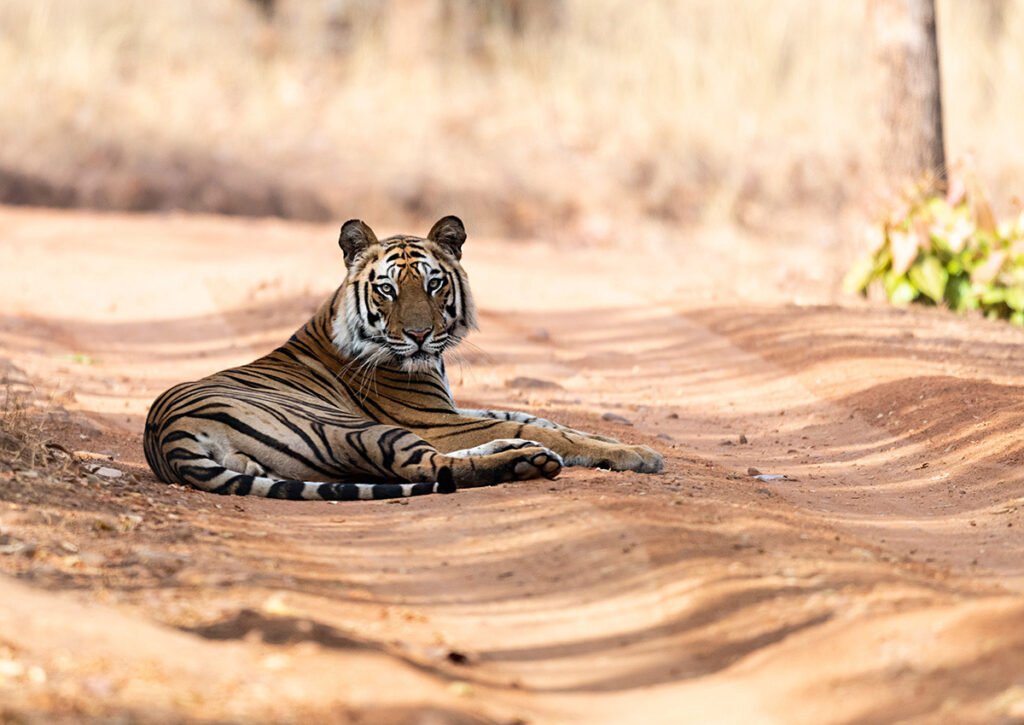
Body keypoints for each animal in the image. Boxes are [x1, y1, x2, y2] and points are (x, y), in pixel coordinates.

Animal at [143, 215, 663, 501]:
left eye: (433, 284)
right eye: (387, 289)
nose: (418, 335)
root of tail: (168, 436)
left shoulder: (450, 411)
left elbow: (543, 419)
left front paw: (623, 444)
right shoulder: (434, 419)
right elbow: (537, 426)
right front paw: (637, 455)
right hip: (354, 427)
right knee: (428, 467)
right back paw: (527, 461)